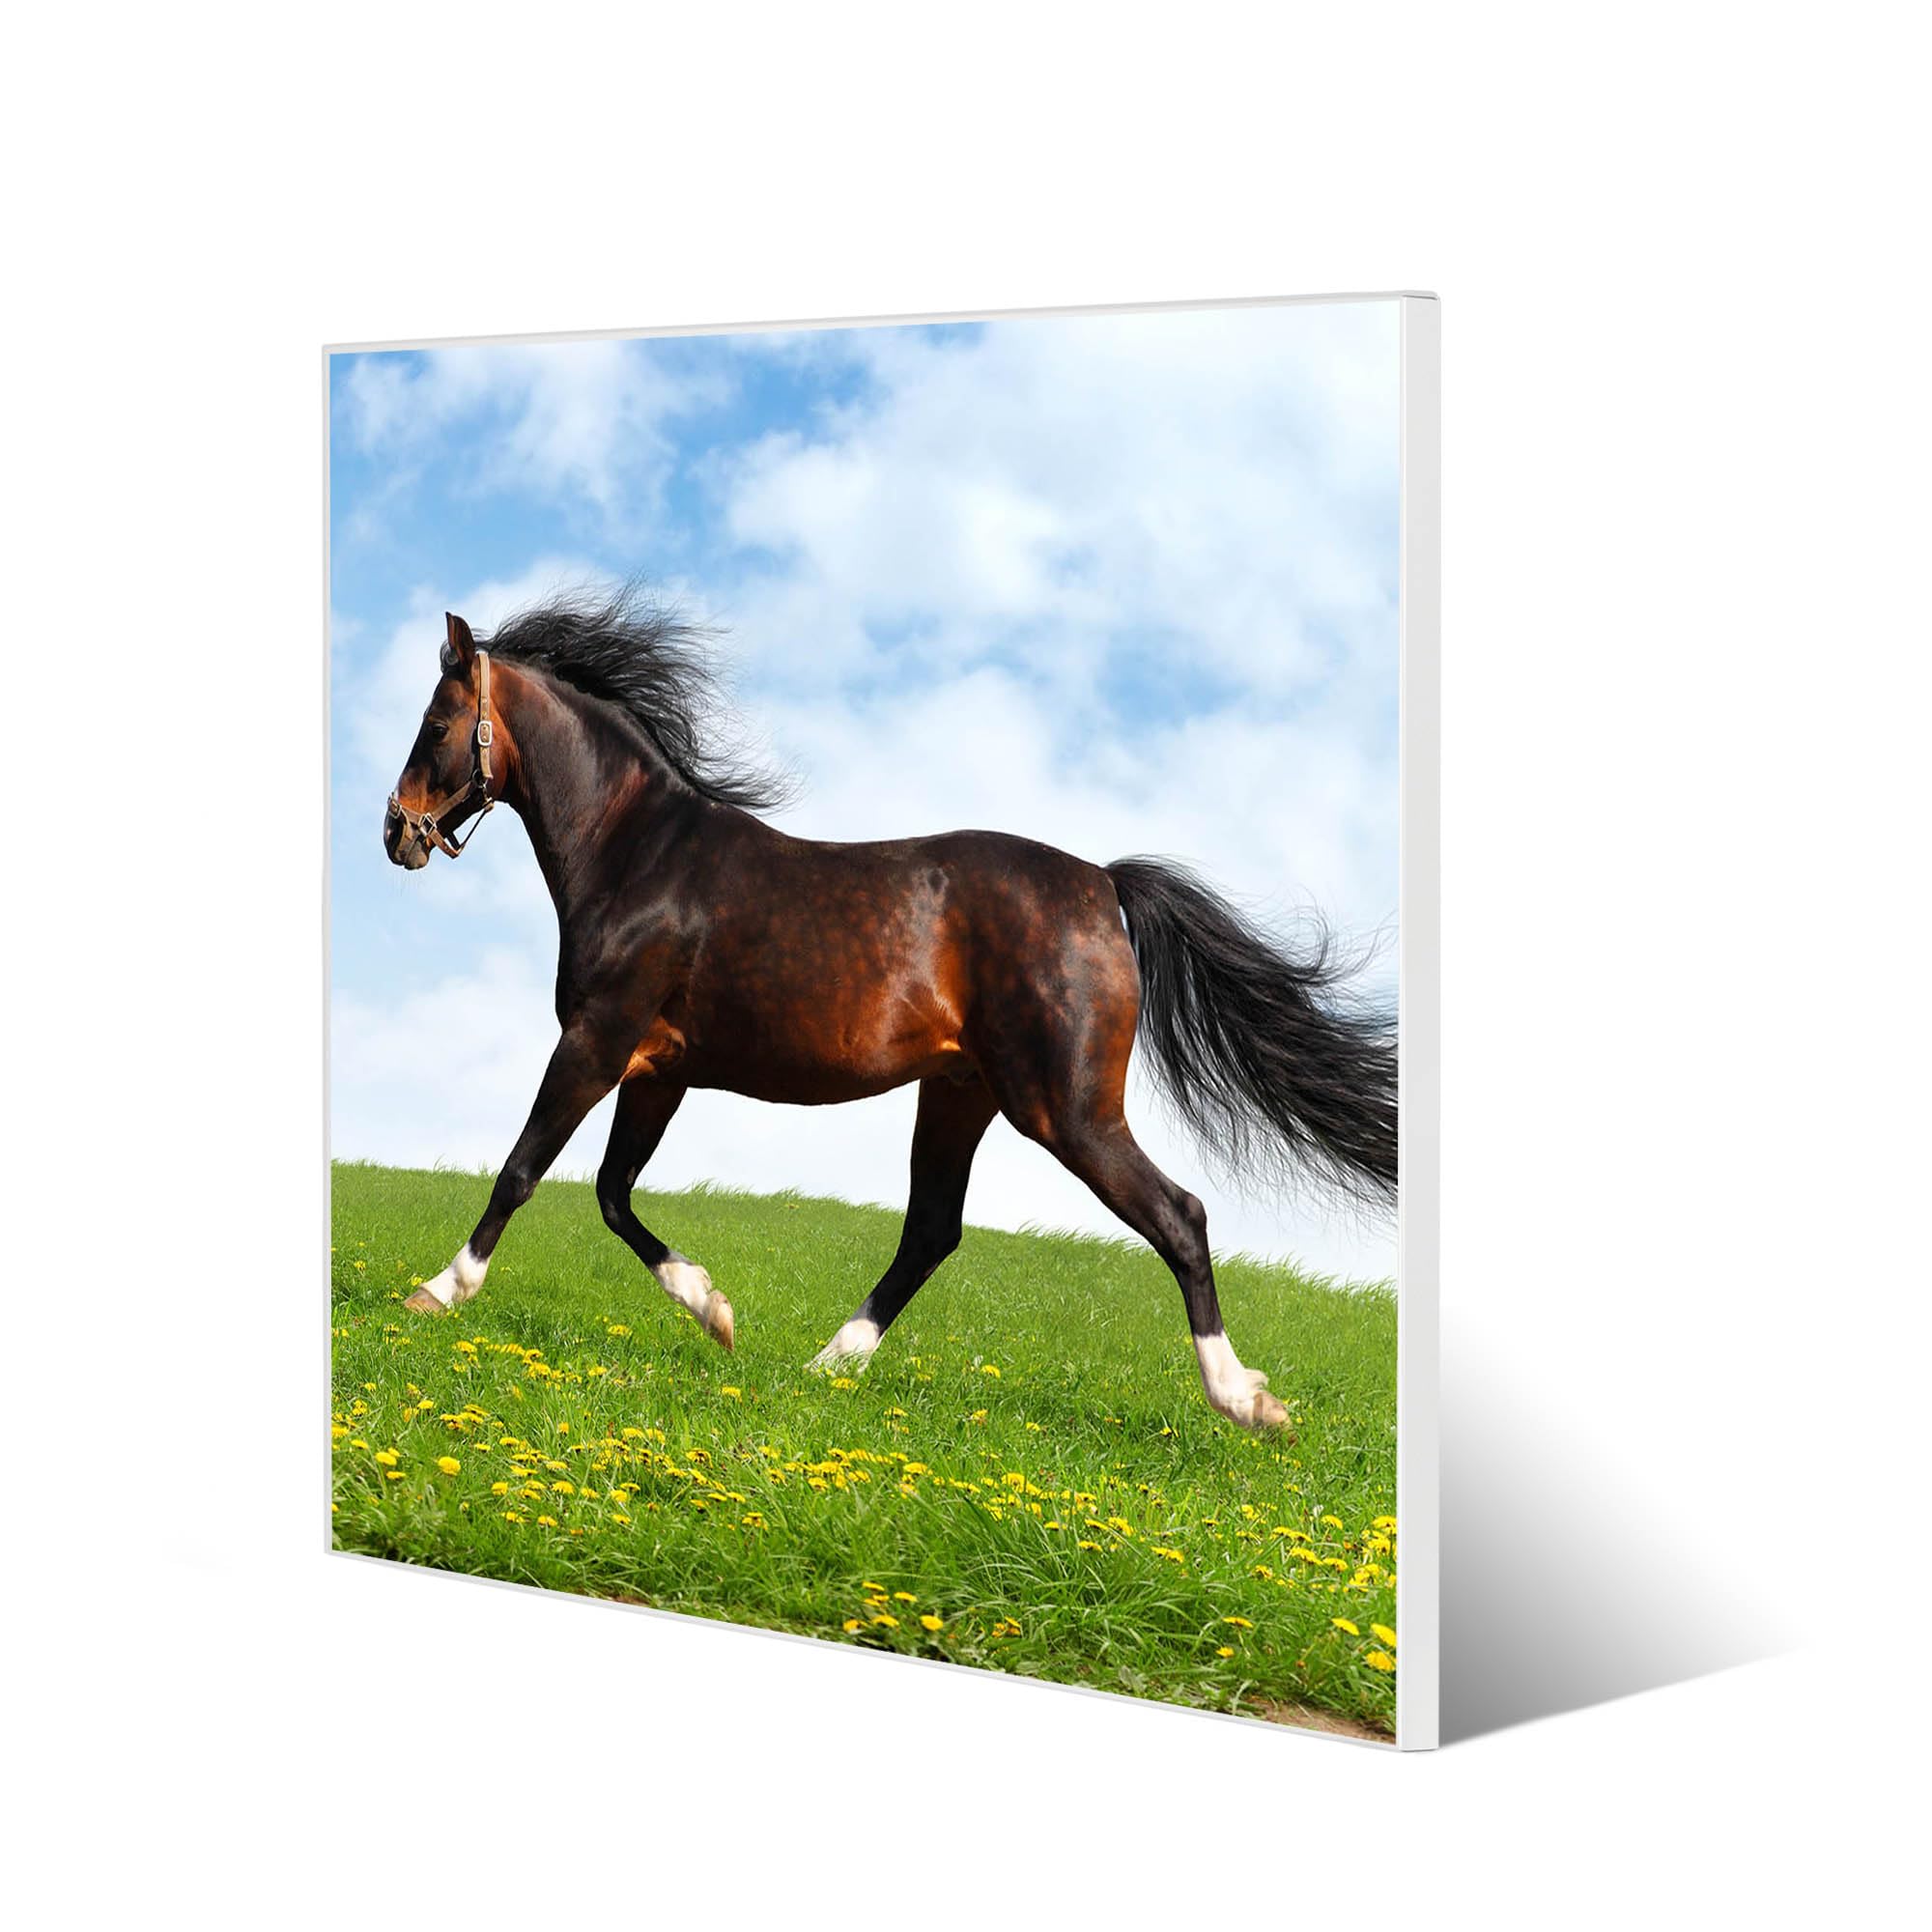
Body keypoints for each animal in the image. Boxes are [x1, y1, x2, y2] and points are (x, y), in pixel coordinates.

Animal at [380, 585, 1396, 1431]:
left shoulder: (595, 1041)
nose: (396, 832)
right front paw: (717, 1312)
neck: (638, 854)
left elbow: (524, 1171)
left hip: (1064, 1109)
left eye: (437, 722)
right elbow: (612, 1193)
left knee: (1178, 1215)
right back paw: (826, 1363)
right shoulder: (658, 1070)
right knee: (932, 1232)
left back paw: (1247, 1400)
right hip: (959, 1095)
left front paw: (437, 1292)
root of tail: (1103, 886)